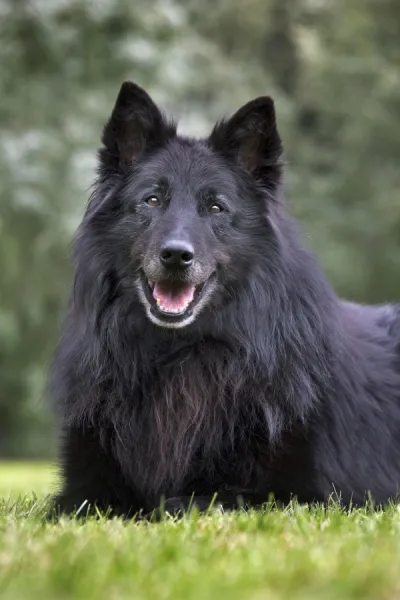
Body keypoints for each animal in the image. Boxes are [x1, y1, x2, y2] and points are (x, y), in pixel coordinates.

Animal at [49, 82, 400, 516]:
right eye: (152, 200)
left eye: (216, 207)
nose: (176, 256)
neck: (179, 357)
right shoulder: (80, 489)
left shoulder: (304, 497)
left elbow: (180, 503)